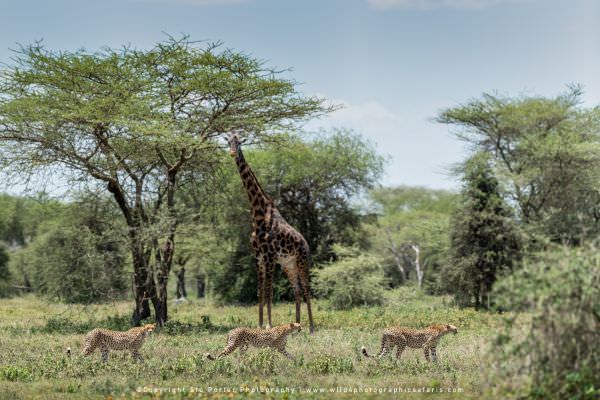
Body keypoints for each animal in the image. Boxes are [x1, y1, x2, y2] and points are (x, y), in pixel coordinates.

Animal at [227, 133, 316, 332]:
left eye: (239, 143)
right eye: (228, 142)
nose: (232, 153)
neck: (258, 214)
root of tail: (306, 243)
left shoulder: (269, 257)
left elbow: (269, 291)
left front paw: (268, 325)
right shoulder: (258, 257)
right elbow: (260, 291)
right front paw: (260, 325)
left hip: (302, 261)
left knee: (306, 288)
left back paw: (312, 327)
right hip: (288, 265)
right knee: (297, 289)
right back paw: (298, 325)